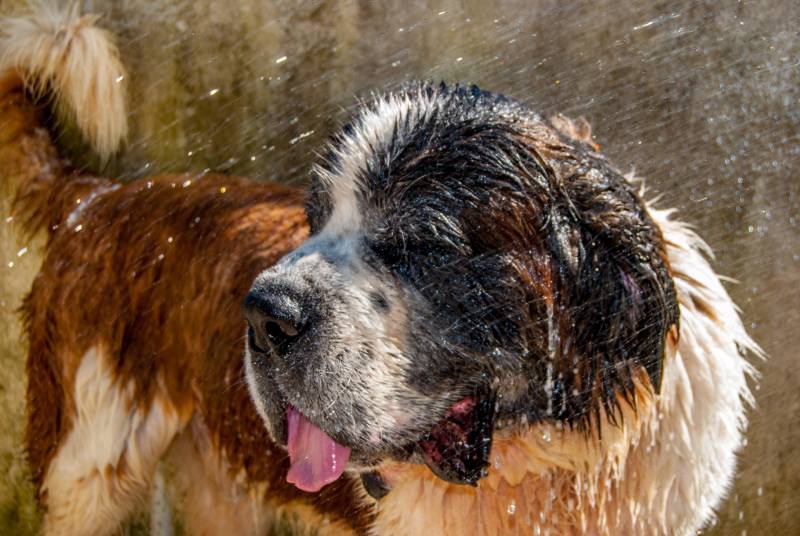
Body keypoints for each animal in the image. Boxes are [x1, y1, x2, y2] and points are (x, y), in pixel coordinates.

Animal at [0, 4, 760, 536]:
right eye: (313, 221)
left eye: (425, 243)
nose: (263, 315)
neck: (549, 458)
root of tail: (98, 196)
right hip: (86, 465)